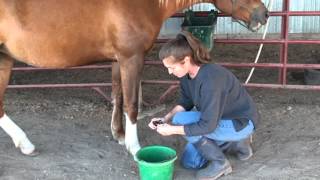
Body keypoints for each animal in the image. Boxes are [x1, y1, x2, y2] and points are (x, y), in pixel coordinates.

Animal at [0, 0, 268, 156]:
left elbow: (117, 95)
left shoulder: (118, 60)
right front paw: (133, 146)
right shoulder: (132, 58)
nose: (264, 14)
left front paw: (118, 135)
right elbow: (131, 104)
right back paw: (26, 144)